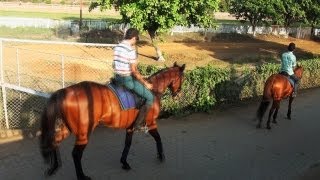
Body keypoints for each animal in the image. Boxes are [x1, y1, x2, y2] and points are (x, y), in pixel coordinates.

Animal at [40, 62, 185, 179]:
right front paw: (161, 156)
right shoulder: (151, 123)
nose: (178, 93)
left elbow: (128, 144)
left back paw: (54, 167)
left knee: (55, 140)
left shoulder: (130, 127)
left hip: (68, 128)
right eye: (182, 78)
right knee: (76, 154)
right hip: (83, 133)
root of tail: (65, 92)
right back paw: (81, 176)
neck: (153, 90)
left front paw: (124, 163)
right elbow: (158, 138)